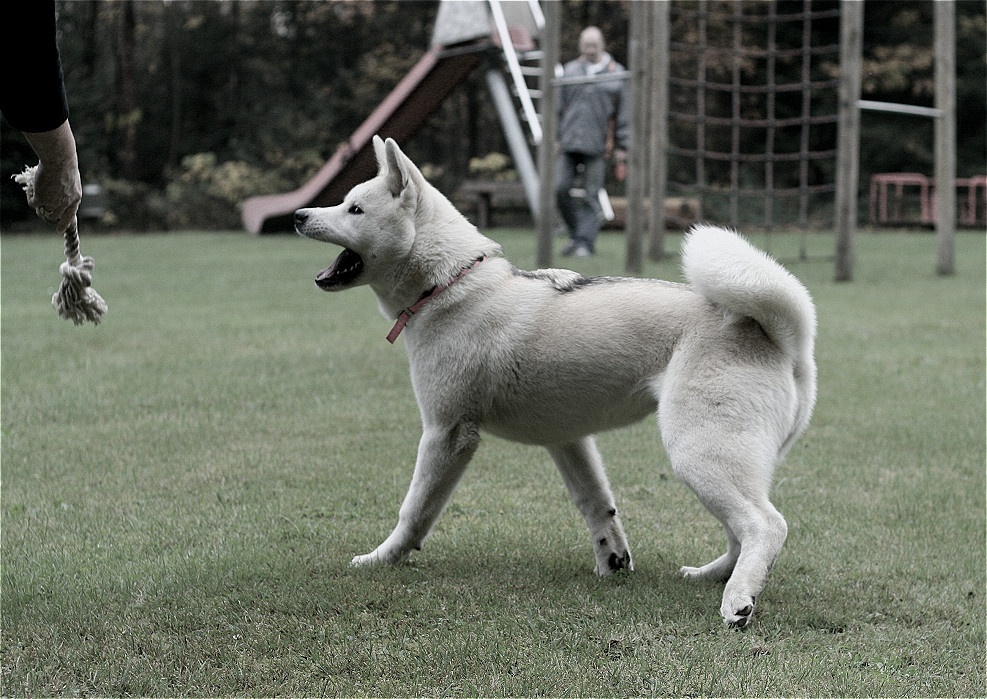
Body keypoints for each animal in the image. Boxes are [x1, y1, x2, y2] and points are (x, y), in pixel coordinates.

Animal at [296, 137, 820, 628]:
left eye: (355, 209)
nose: (299, 215)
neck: (449, 282)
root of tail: (779, 335)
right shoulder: (568, 440)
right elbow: (598, 506)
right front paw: (612, 563)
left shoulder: (446, 435)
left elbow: (414, 512)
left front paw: (382, 558)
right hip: (727, 462)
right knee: (741, 530)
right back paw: (713, 575)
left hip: (698, 453)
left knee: (766, 525)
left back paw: (739, 600)